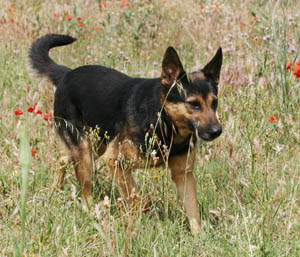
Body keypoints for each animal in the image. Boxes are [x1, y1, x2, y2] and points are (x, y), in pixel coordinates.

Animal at [28, 34, 223, 234]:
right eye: (194, 104)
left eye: (214, 102)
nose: (217, 131)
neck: (162, 117)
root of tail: (67, 74)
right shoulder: (115, 161)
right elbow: (136, 197)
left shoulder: (183, 175)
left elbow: (193, 211)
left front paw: (199, 237)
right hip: (85, 152)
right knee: (85, 189)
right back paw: (91, 215)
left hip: (94, 147)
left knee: (62, 158)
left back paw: (54, 192)